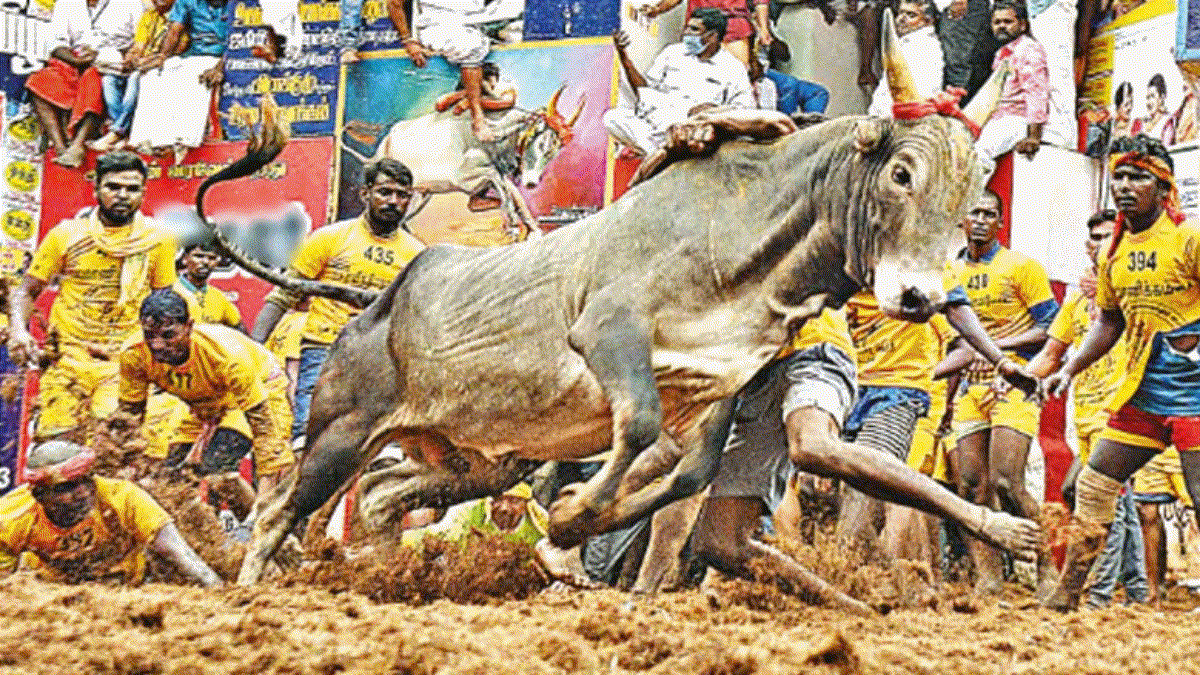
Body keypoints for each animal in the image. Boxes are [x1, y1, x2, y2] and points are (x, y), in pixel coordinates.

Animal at [343, 85, 585, 239]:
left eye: (553, 152)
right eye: (541, 142)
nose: (532, 183)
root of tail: (380, 149)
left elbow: (514, 195)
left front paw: (533, 230)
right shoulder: (463, 178)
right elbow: (497, 181)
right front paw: (513, 226)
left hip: (418, 196)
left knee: (401, 222)